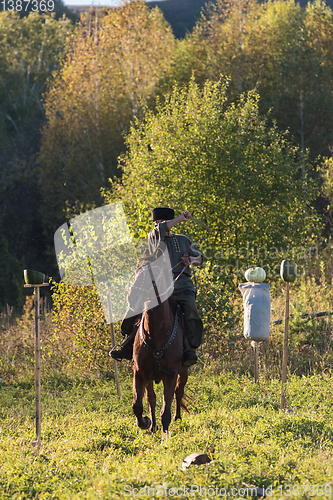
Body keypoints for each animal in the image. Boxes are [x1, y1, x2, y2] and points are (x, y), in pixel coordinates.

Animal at [126, 250, 188, 434]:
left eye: (152, 278)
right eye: (136, 274)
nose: (132, 298)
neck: (156, 335)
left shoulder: (171, 374)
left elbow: (165, 410)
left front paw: (165, 434)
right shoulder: (139, 373)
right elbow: (138, 405)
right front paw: (145, 422)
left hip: (184, 371)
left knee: (178, 392)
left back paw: (177, 418)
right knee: (151, 399)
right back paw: (152, 425)